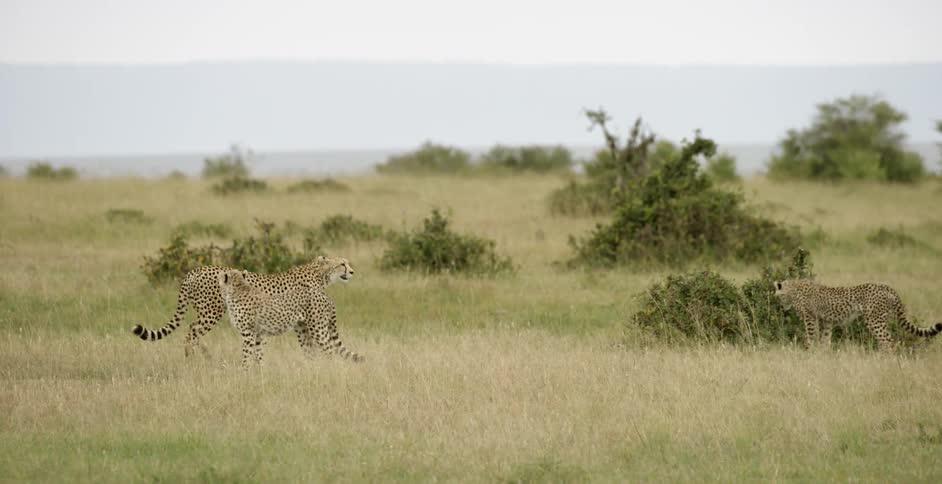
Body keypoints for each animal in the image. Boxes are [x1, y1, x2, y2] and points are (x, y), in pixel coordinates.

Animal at [131, 255, 354, 357]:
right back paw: (193, 357)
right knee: (192, 330)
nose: (352, 271)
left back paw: (203, 355)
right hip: (212, 312)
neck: (319, 274)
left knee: (192, 329)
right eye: (342, 263)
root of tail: (194, 270)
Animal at [218, 269, 362, 367]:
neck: (238, 288)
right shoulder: (258, 333)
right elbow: (258, 355)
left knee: (329, 350)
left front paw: (244, 372)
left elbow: (246, 354)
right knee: (311, 352)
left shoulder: (248, 332)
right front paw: (259, 372)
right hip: (304, 330)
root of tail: (324, 295)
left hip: (318, 329)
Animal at [773, 279, 942, 351]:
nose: (782, 307)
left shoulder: (810, 318)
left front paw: (808, 352)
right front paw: (822, 355)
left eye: (779, 296)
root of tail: (887, 287)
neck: (792, 288)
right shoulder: (826, 321)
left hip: (874, 321)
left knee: (889, 342)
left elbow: (811, 336)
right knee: (885, 342)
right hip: (881, 320)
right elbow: (825, 340)